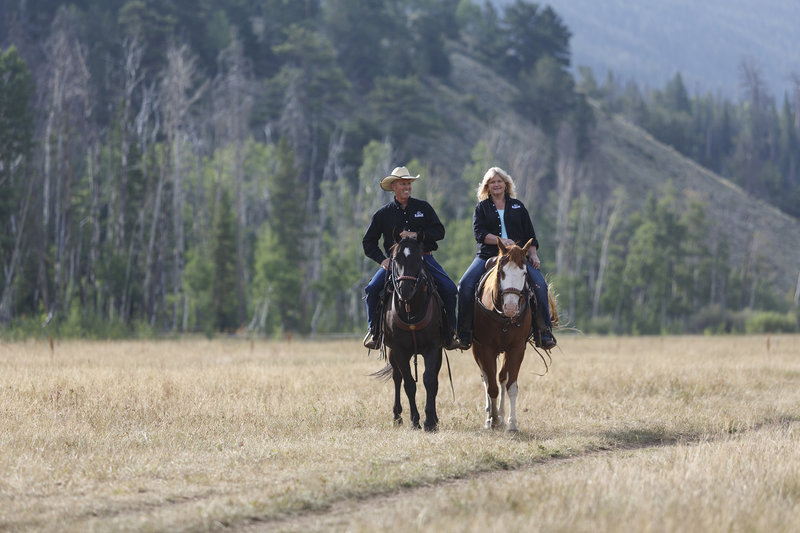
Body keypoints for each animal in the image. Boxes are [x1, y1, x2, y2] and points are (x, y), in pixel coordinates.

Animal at [374, 236, 444, 428]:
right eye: (395, 258)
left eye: (419, 258)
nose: (405, 288)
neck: (411, 309)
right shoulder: (399, 350)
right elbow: (409, 384)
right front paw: (415, 420)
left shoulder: (433, 347)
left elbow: (429, 380)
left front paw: (430, 421)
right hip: (392, 353)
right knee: (397, 378)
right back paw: (397, 416)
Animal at [472, 239, 536, 430]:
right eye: (501, 272)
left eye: (524, 273)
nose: (511, 307)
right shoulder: (485, 349)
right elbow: (491, 387)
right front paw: (493, 419)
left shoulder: (516, 349)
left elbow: (510, 385)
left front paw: (512, 423)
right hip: (477, 350)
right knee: (487, 379)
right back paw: (491, 417)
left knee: (501, 377)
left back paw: (500, 414)